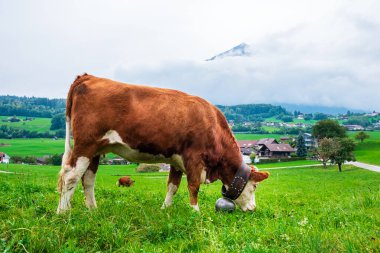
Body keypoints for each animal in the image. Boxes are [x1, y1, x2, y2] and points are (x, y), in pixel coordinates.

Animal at [57, 73, 270, 213]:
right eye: (255, 187)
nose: (253, 208)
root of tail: (88, 76)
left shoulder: (177, 160)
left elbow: (172, 186)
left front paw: (165, 209)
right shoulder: (194, 157)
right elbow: (193, 186)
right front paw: (195, 212)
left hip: (96, 149)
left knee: (87, 179)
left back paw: (92, 210)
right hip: (85, 145)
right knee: (70, 177)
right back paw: (63, 213)